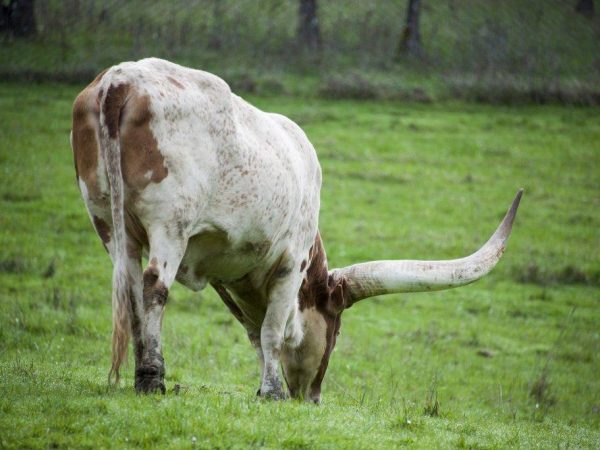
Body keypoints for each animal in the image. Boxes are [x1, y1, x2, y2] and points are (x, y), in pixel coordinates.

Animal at [71, 58, 520, 402]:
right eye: (336, 329)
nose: (313, 396)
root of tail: (119, 82)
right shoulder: (291, 262)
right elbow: (272, 331)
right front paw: (272, 392)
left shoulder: (227, 278)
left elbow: (255, 332)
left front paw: (265, 383)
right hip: (171, 224)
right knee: (153, 288)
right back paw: (152, 378)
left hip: (107, 221)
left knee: (129, 287)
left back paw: (140, 374)